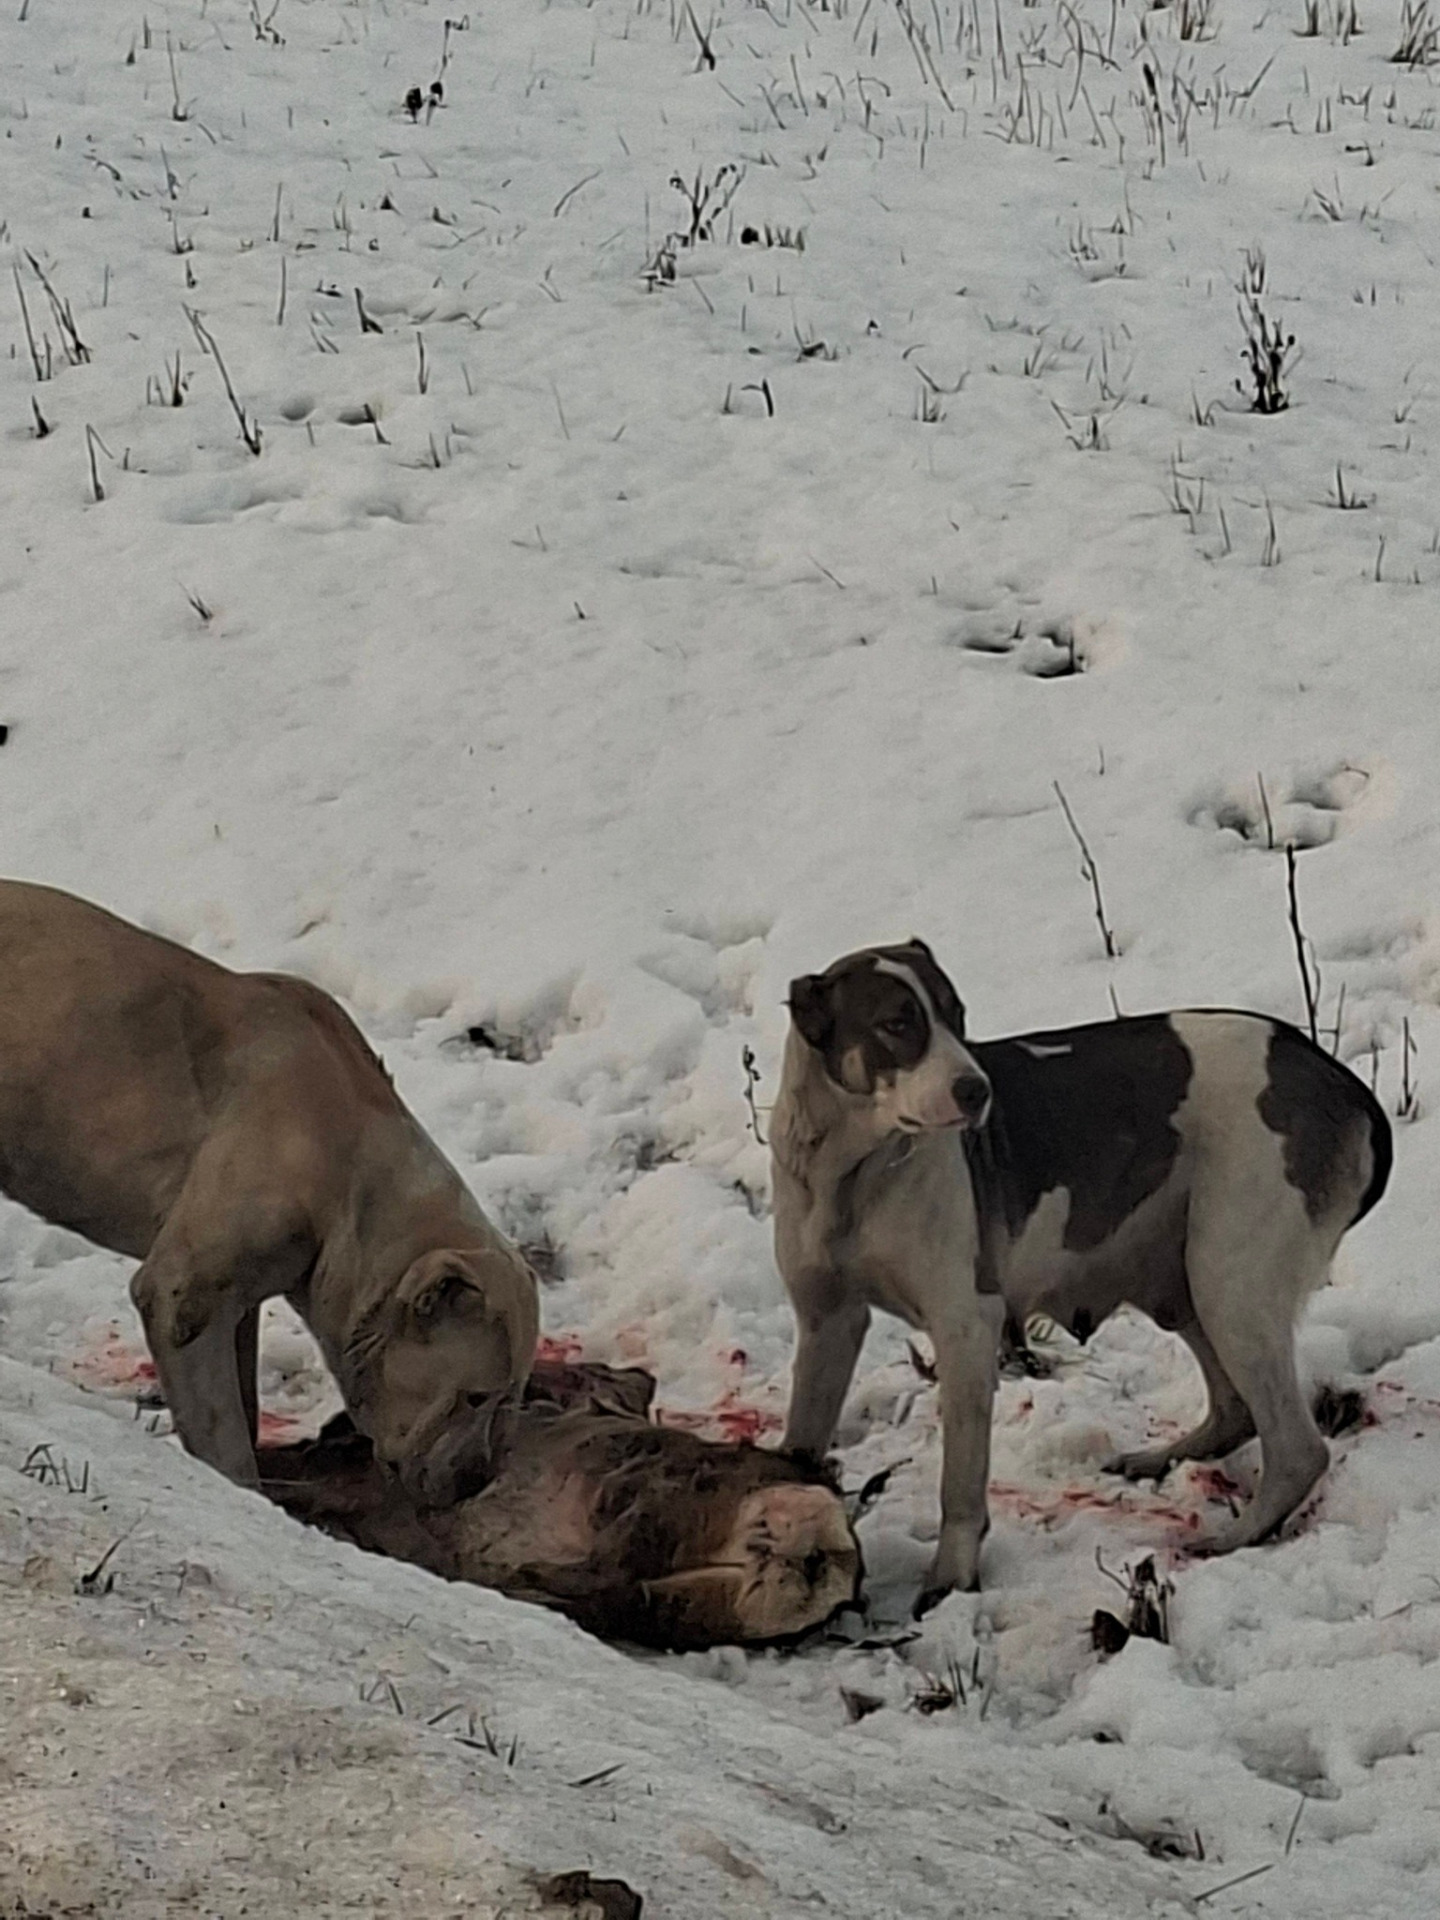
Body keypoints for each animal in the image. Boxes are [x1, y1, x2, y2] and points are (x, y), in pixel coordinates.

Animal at [0, 879, 538, 1502]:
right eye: (474, 1396)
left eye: (512, 1398)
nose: (478, 1481)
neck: (350, 1179)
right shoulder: (184, 1297)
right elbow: (224, 1435)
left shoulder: (237, 1302)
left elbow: (243, 1398)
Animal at [771, 939, 1392, 1610]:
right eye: (896, 1024)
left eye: (956, 1016)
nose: (977, 1091)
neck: (853, 1173)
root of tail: (1337, 1078)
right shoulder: (827, 1323)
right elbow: (802, 1437)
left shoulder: (966, 1327)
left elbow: (960, 1482)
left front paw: (952, 1580)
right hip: (1181, 1280)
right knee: (1236, 1411)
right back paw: (1166, 1459)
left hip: (1231, 1279)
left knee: (1297, 1449)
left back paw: (1235, 1536)